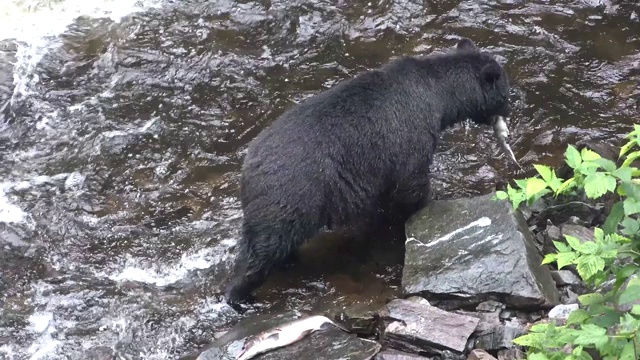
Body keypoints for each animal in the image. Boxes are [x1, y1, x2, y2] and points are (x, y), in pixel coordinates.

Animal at [224, 37, 510, 306]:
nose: (509, 108)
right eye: (506, 93)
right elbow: (410, 185)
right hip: (292, 193)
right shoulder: (409, 135)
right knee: (263, 247)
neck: (438, 97)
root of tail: (249, 164)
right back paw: (240, 293)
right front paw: (421, 210)